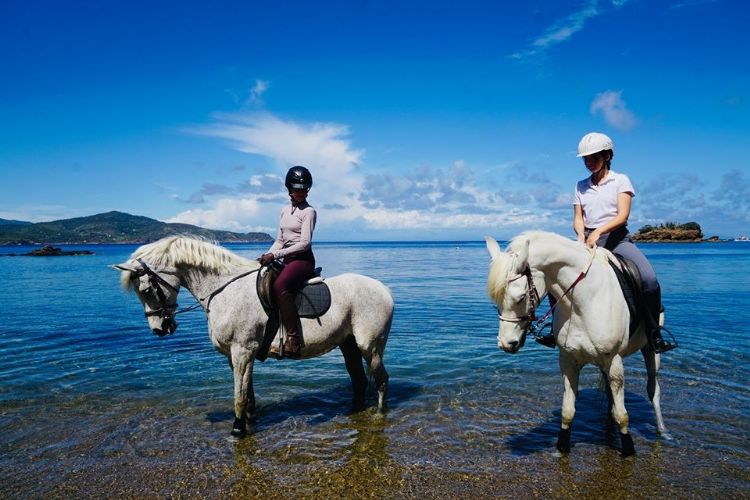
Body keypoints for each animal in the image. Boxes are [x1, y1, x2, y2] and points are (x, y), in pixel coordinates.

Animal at [115, 236, 396, 436]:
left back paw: (378, 415)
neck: (225, 290)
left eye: (146, 290)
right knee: (359, 379)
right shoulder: (235, 355)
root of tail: (384, 289)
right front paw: (250, 421)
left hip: (369, 346)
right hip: (348, 344)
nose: (159, 329)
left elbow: (239, 396)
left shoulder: (243, 351)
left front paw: (237, 430)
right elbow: (247, 393)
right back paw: (354, 412)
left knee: (381, 379)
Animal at [488, 232, 668, 456]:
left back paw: (662, 431)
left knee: (653, 390)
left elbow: (623, 414)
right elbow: (568, 411)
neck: (583, 301)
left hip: (650, 351)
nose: (506, 343)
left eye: (520, 297)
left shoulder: (614, 361)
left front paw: (628, 450)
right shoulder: (568, 361)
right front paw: (562, 447)